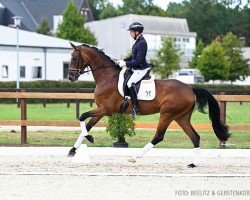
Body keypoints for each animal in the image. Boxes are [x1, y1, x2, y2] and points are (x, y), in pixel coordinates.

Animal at [67, 42, 230, 167]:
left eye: (74, 57)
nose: (70, 77)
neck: (107, 78)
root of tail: (190, 89)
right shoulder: (102, 110)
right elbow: (87, 125)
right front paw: (73, 150)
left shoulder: (106, 109)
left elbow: (82, 117)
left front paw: (90, 139)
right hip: (181, 117)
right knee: (195, 137)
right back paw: (193, 163)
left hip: (167, 114)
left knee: (158, 136)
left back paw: (135, 157)